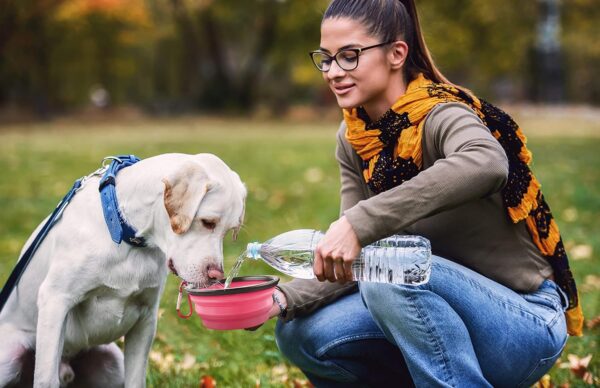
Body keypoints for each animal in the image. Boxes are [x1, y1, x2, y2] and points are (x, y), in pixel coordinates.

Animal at [0, 153, 246, 386]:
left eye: (229, 231)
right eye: (207, 222)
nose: (217, 276)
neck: (127, 236)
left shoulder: (146, 318)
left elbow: (136, 379)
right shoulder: (55, 300)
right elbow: (45, 378)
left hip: (113, 362)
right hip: (9, 357)